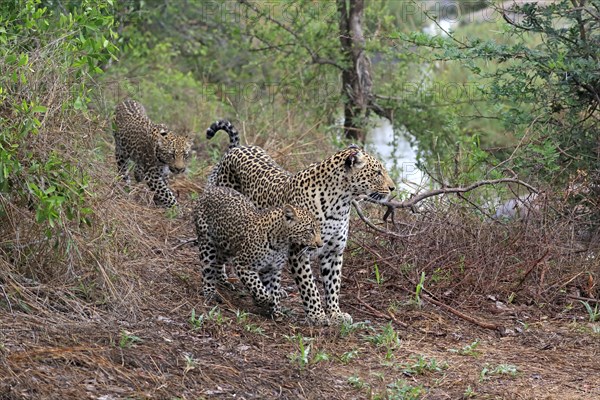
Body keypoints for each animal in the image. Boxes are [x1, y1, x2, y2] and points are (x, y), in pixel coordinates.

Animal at [204, 119, 396, 324]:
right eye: (377, 172)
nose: (393, 187)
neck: (341, 204)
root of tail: (237, 148)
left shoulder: (334, 252)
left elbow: (333, 284)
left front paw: (335, 313)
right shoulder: (299, 252)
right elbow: (309, 287)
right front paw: (317, 315)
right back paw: (222, 279)